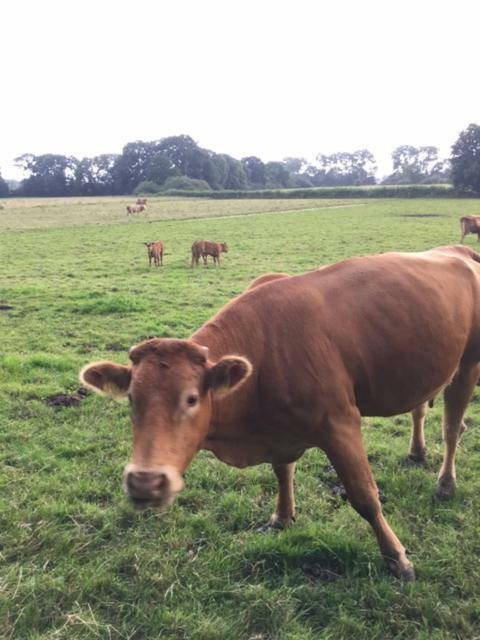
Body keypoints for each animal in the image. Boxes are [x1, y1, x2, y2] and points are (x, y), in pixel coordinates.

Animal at [80, 246, 480, 584]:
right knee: (419, 409)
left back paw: (445, 483)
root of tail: (456, 250)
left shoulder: (340, 423)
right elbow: (282, 472)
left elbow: (364, 496)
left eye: (191, 399)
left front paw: (397, 558)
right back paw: (416, 452)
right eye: (131, 400)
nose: (145, 482)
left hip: (467, 365)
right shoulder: (278, 431)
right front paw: (282, 517)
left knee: (452, 428)